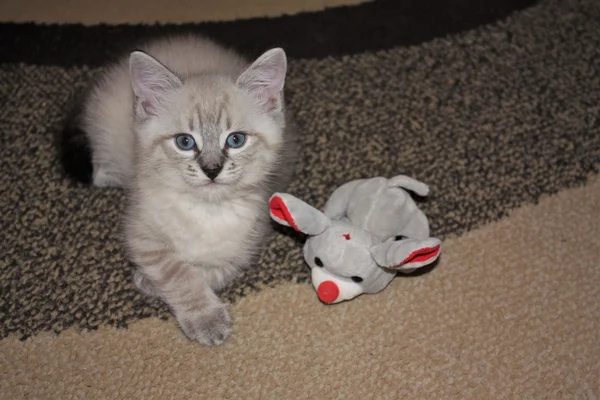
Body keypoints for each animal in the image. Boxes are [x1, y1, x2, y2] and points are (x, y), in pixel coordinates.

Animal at [62, 36, 298, 346]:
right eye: (185, 142)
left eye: (235, 140)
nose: (212, 169)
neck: (206, 211)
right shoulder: (140, 235)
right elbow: (178, 272)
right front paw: (205, 318)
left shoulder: (246, 247)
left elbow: (208, 272)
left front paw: (149, 282)